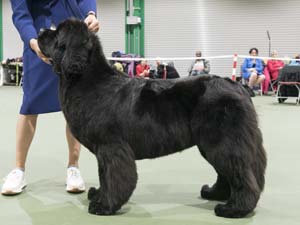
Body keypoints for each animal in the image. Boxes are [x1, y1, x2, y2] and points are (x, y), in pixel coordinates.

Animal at [38, 18, 268, 218]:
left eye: (56, 33)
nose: (40, 32)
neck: (88, 80)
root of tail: (238, 86)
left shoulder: (111, 147)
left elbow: (113, 176)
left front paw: (104, 205)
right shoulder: (103, 151)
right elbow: (104, 175)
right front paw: (98, 195)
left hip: (222, 142)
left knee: (240, 173)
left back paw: (235, 208)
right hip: (215, 143)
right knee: (227, 173)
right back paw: (215, 194)